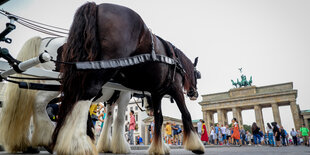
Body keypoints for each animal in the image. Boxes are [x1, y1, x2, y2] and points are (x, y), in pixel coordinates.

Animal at [52, 2, 203, 154]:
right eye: (197, 75)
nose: (194, 93)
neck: (174, 60)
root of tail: (97, 6)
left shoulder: (155, 94)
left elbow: (158, 119)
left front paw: (158, 147)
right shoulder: (174, 89)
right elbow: (185, 114)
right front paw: (196, 145)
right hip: (103, 68)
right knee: (86, 94)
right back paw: (77, 144)